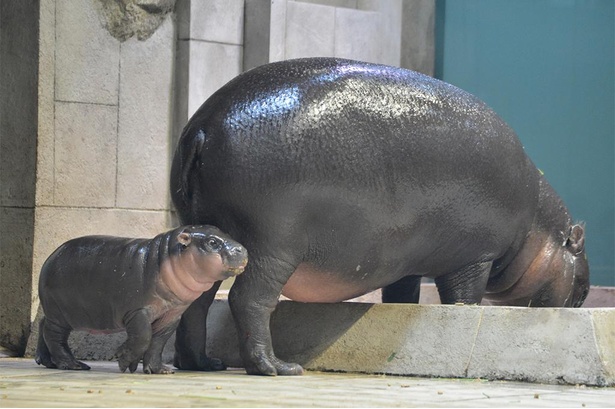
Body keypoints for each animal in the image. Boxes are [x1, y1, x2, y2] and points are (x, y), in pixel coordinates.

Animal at [35, 225, 248, 374]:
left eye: (227, 233)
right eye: (212, 242)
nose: (242, 249)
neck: (166, 259)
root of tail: (51, 256)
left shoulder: (171, 315)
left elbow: (157, 343)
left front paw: (160, 371)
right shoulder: (138, 311)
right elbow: (144, 336)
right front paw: (123, 362)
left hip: (59, 312)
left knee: (43, 325)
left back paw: (48, 362)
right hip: (59, 314)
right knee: (54, 336)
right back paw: (74, 365)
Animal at [170, 57, 592, 376]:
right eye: (582, 280)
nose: (582, 298)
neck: (536, 225)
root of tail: (203, 128)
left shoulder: (406, 262)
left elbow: (401, 294)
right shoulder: (476, 257)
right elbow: (464, 298)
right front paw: (465, 313)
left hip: (213, 238)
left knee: (197, 300)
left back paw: (202, 364)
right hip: (271, 244)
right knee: (250, 300)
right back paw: (277, 368)